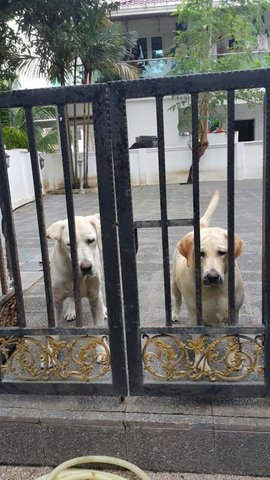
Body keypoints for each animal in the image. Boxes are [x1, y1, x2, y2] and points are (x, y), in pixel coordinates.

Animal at [173, 191, 245, 326]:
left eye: (222, 252)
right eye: (200, 253)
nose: (212, 277)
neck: (214, 291)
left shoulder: (234, 315)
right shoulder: (194, 318)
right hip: (173, 281)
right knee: (177, 298)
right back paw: (175, 314)